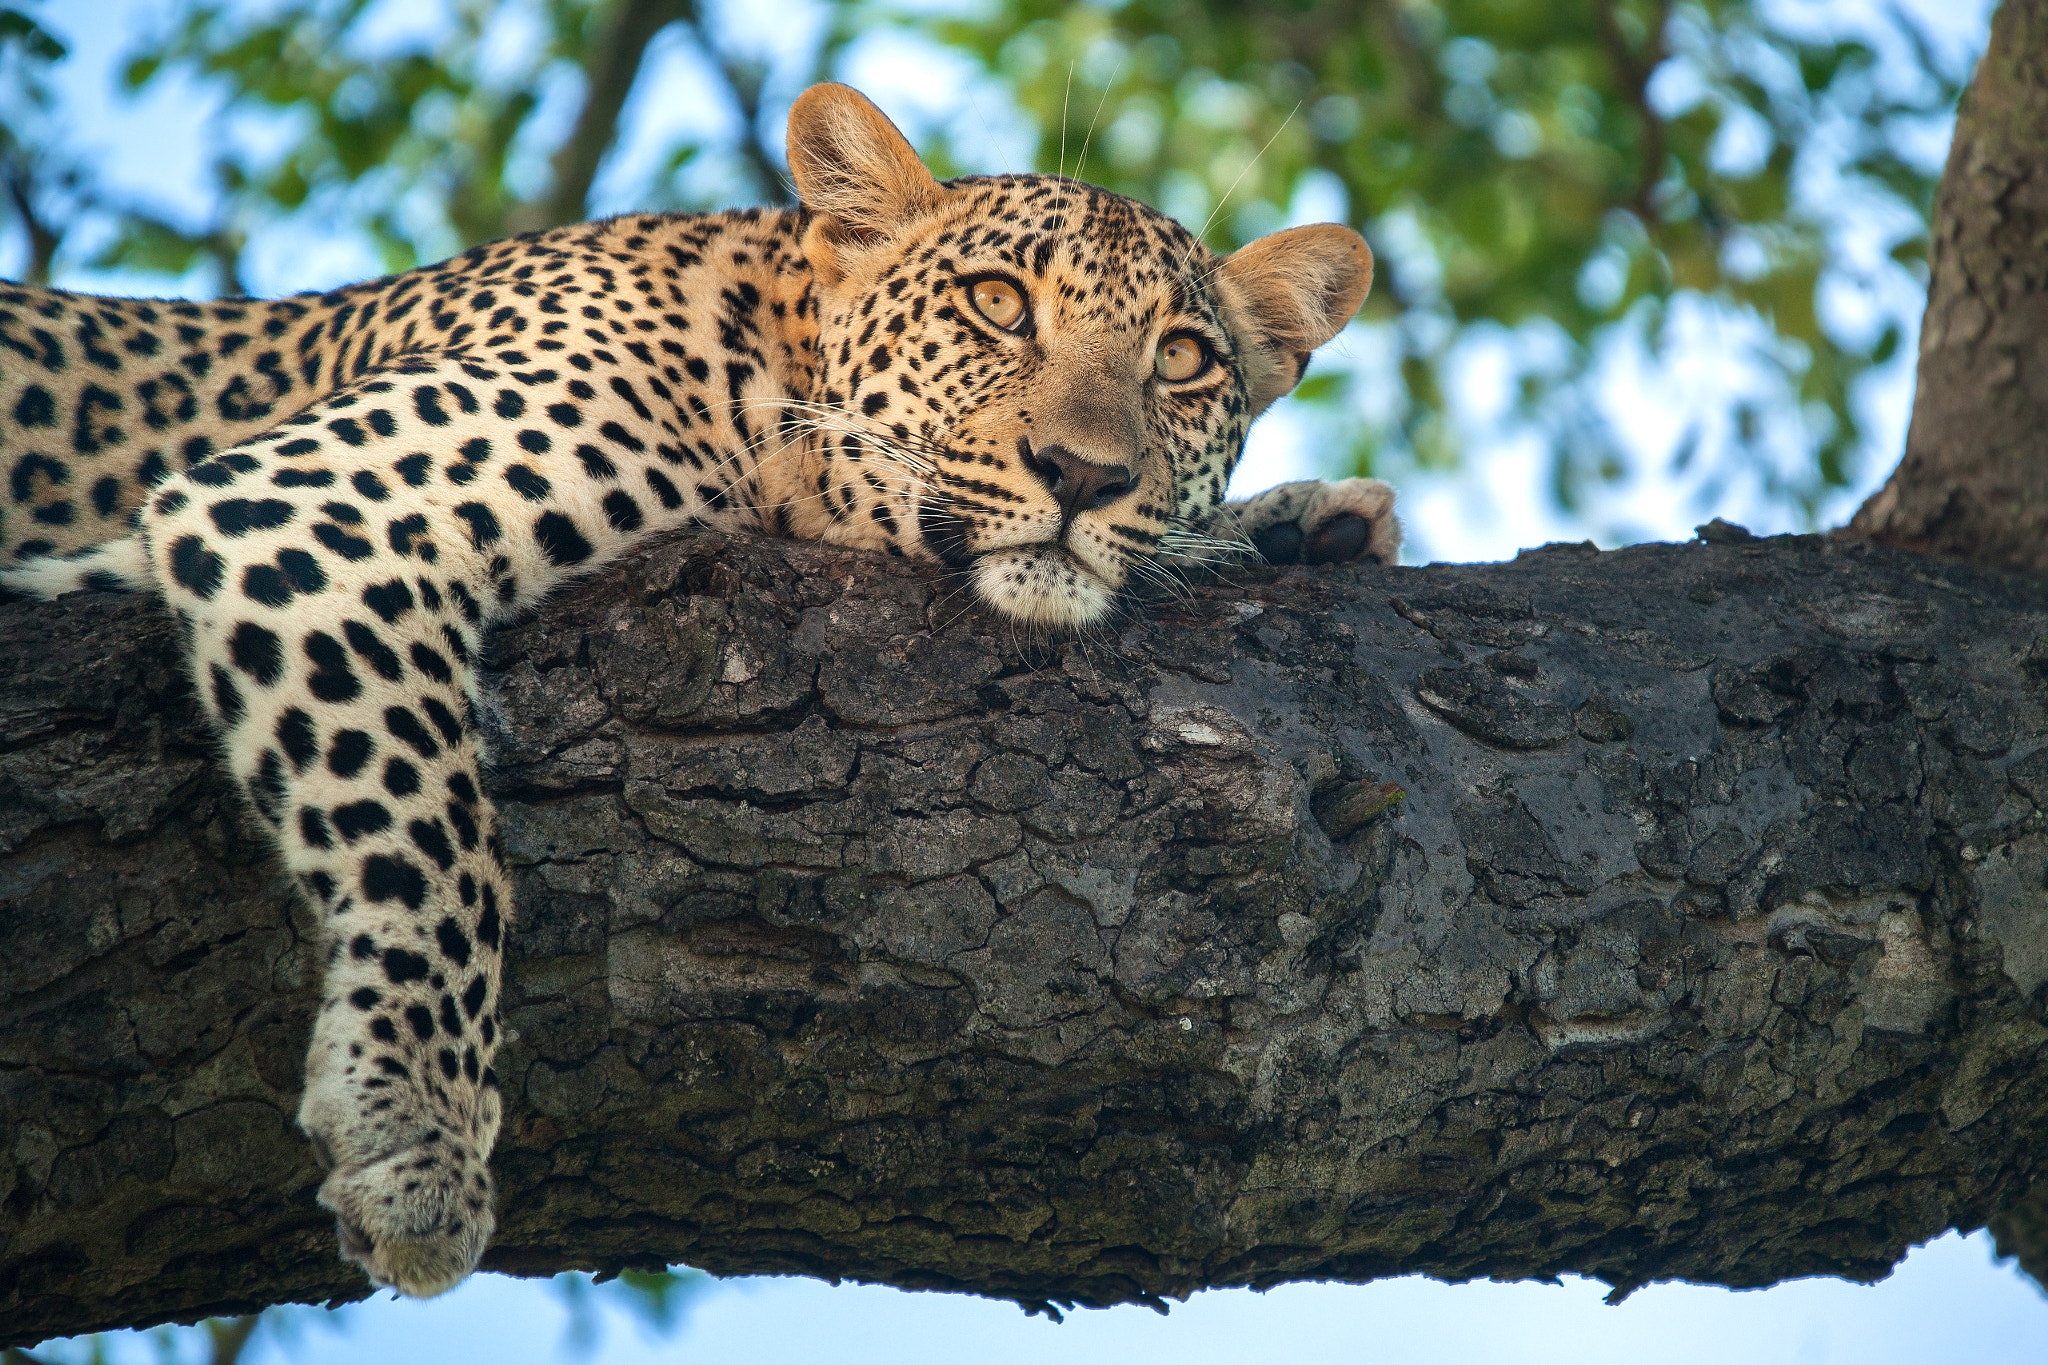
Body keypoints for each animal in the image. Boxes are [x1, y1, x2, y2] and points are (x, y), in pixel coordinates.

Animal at [0, 83, 1399, 1298]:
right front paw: (415, 1132)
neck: (762, 368)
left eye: (1182, 360)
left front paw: (1303, 524)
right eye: (997, 305)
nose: (1083, 474)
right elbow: (427, 830)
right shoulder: (314, 510)